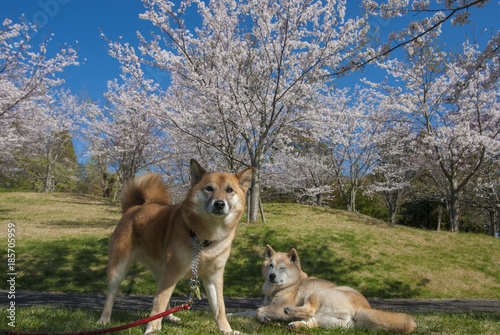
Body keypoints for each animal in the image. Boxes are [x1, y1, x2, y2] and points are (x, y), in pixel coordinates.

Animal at [97, 159, 254, 334]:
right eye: (209, 188)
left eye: (229, 190)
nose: (219, 203)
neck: (205, 240)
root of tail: (133, 208)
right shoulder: (173, 271)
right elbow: (158, 303)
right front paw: (152, 329)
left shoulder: (214, 276)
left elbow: (220, 308)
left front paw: (226, 330)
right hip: (120, 268)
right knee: (112, 294)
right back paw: (104, 319)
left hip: (162, 270)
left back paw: (169, 317)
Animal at [236, 245, 416, 334]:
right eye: (271, 265)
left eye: (282, 268)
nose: (271, 276)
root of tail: (362, 307)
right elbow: (247, 312)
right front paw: (233, 315)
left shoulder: (277, 307)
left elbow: (259, 310)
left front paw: (264, 317)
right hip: (330, 321)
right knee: (312, 321)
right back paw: (297, 325)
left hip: (315, 293)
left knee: (308, 311)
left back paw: (290, 312)